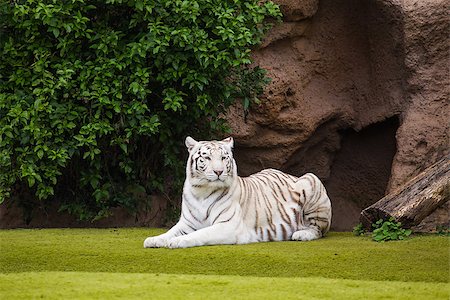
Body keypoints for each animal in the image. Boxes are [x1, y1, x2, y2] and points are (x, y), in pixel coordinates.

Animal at [144, 137, 330, 248]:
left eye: (224, 158)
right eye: (207, 158)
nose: (219, 171)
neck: (202, 191)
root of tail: (292, 174)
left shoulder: (228, 226)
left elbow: (201, 233)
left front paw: (177, 241)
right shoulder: (186, 223)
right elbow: (170, 231)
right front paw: (154, 239)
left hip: (311, 180)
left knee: (318, 229)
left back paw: (301, 234)